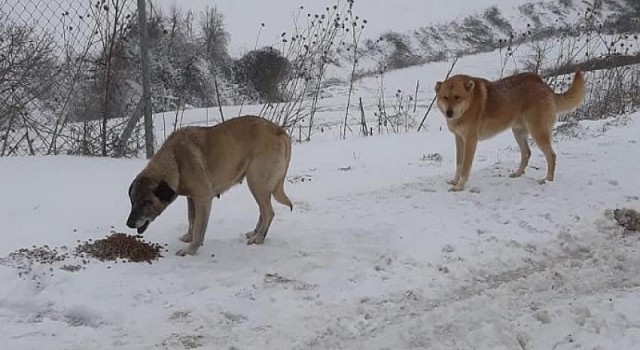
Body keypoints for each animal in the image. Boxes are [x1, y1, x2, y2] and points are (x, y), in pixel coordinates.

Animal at [125, 116, 296, 256]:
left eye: (145, 202)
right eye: (132, 201)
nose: (129, 224)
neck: (175, 161)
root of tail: (280, 131)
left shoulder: (203, 198)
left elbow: (199, 226)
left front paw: (191, 249)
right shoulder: (191, 198)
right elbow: (191, 219)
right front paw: (188, 237)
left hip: (255, 182)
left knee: (269, 212)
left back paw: (259, 238)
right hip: (259, 185)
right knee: (263, 210)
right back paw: (255, 232)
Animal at [436, 70, 584, 191]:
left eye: (457, 97)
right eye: (445, 97)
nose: (449, 112)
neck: (468, 105)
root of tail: (543, 85)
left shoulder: (471, 141)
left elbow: (465, 167)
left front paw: (459, 186)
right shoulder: (459, 139)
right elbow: (459, 164)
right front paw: (454, 181)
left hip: (538, 132)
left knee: (551, 156)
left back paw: (548, 179)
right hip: (518, 132)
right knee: (527, 153)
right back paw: (518, 173)